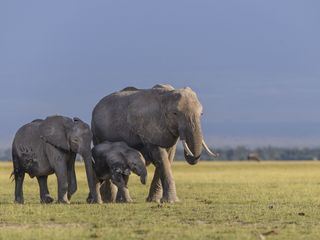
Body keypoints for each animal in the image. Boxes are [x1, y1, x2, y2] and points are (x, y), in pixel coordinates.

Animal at [91, 84, 219, 202]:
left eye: (201, 114)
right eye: (175, 113)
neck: (166, 96)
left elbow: (168, 157)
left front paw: (155, 200)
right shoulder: (149, 128)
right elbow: (160, 157)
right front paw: (172, 201)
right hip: (96, 132)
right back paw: (108, 200)